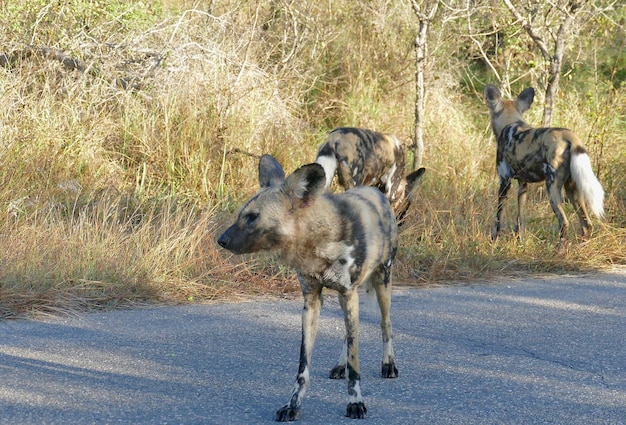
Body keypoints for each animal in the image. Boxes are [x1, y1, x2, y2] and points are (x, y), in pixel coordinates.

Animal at [217, 154, 398, 420]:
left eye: (253, 217)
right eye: (241, 214)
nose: (221, 240)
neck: (318, 244)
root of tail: (376, 190)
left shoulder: (348, 293)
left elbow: (355, 362)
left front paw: (355, 402)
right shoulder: (312, 300)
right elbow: (303, 366)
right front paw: (293, 405)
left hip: (382, 282)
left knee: (385, 326)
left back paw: (389, 364)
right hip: (348, 297)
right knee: (349, 334)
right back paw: (340, 365)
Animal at [480, 85, 604, 250]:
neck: (511, 121)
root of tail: (570, 137)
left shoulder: (504, 182)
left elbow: (498, 217)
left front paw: (494, 241)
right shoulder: (523, 185)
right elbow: (520, 217)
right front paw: (519, 240)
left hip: (552, 188)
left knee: (564, 223)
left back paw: (559, 251)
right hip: (573, 189)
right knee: (587, 224)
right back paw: (581, 248)